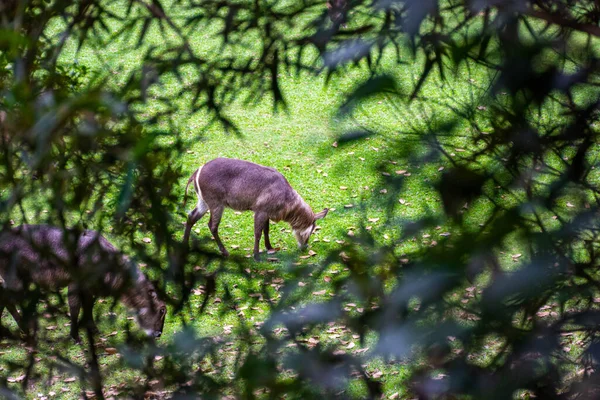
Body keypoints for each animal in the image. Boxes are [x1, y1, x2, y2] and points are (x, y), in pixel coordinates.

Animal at [0, 223, 168, 342]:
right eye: (162, 310)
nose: (159, 333)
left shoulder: (90, 288)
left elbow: (88, 307)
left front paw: (94, 330)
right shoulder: (75, 283)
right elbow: (75, 308)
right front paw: (75, 337)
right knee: (6, 299)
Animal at [185, 156, 330, 260]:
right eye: (311, 231)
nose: (305, 247)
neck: (286, 199)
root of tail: (197, 172)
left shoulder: (267, 213)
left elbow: (266, 230)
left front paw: (270, 248)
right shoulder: (260, 211)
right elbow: (258, 233)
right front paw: (256, 256)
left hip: (203, 202)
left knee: (191, 217)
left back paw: (185, 244)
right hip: (216, 205)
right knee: (212, 226)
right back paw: (225, 252)